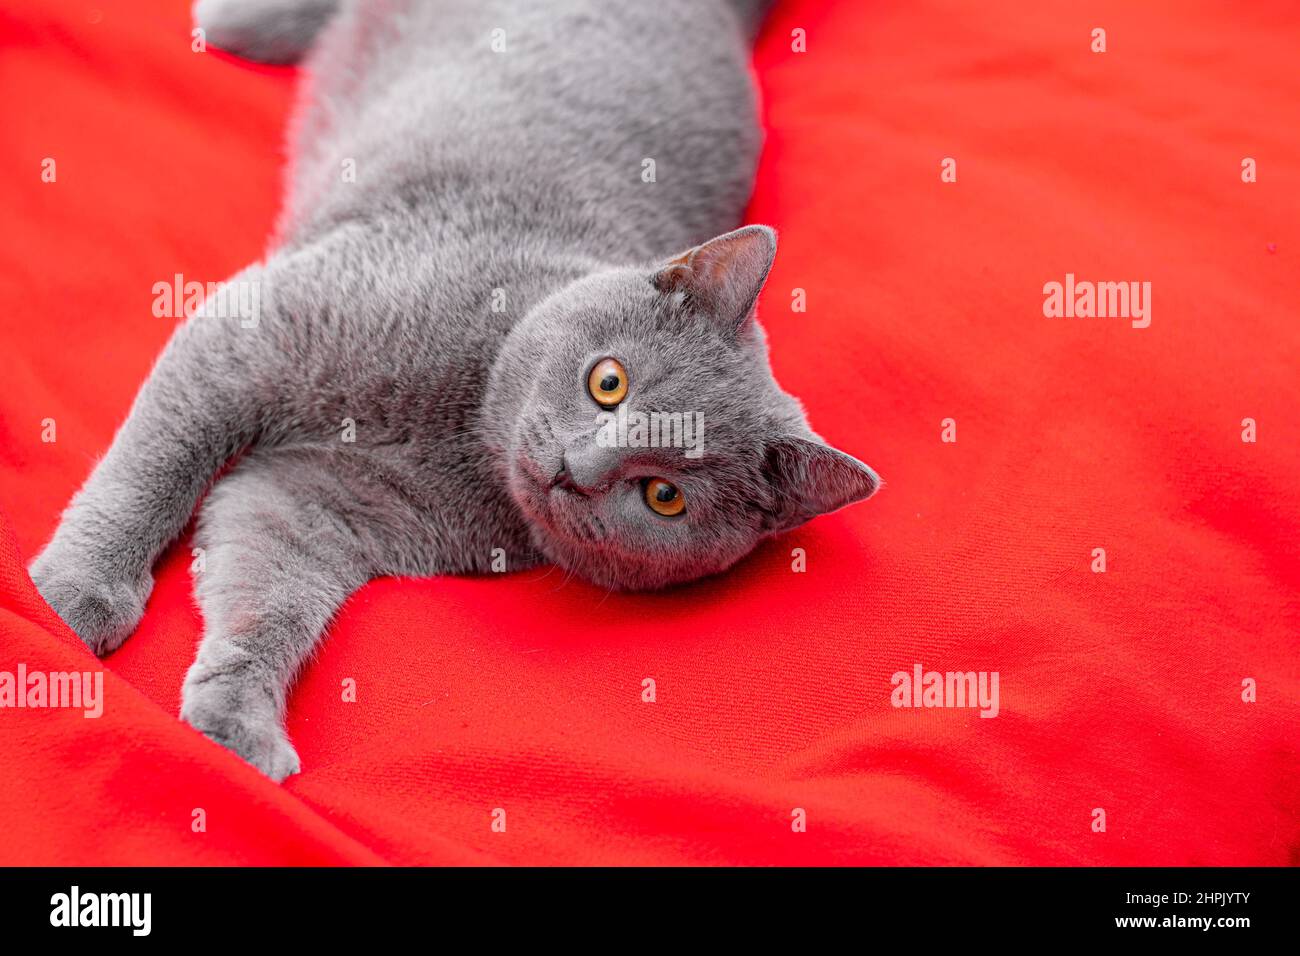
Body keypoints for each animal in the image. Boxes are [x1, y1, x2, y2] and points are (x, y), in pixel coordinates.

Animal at [32, 0, 883, 780]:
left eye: (664, 496)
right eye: (608, 381)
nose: (577, 469)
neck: (460, 427)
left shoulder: (324, 505)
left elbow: (272, 594)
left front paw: (238, 721)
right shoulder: (257, 335)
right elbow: (150, 477)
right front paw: (72, 598)